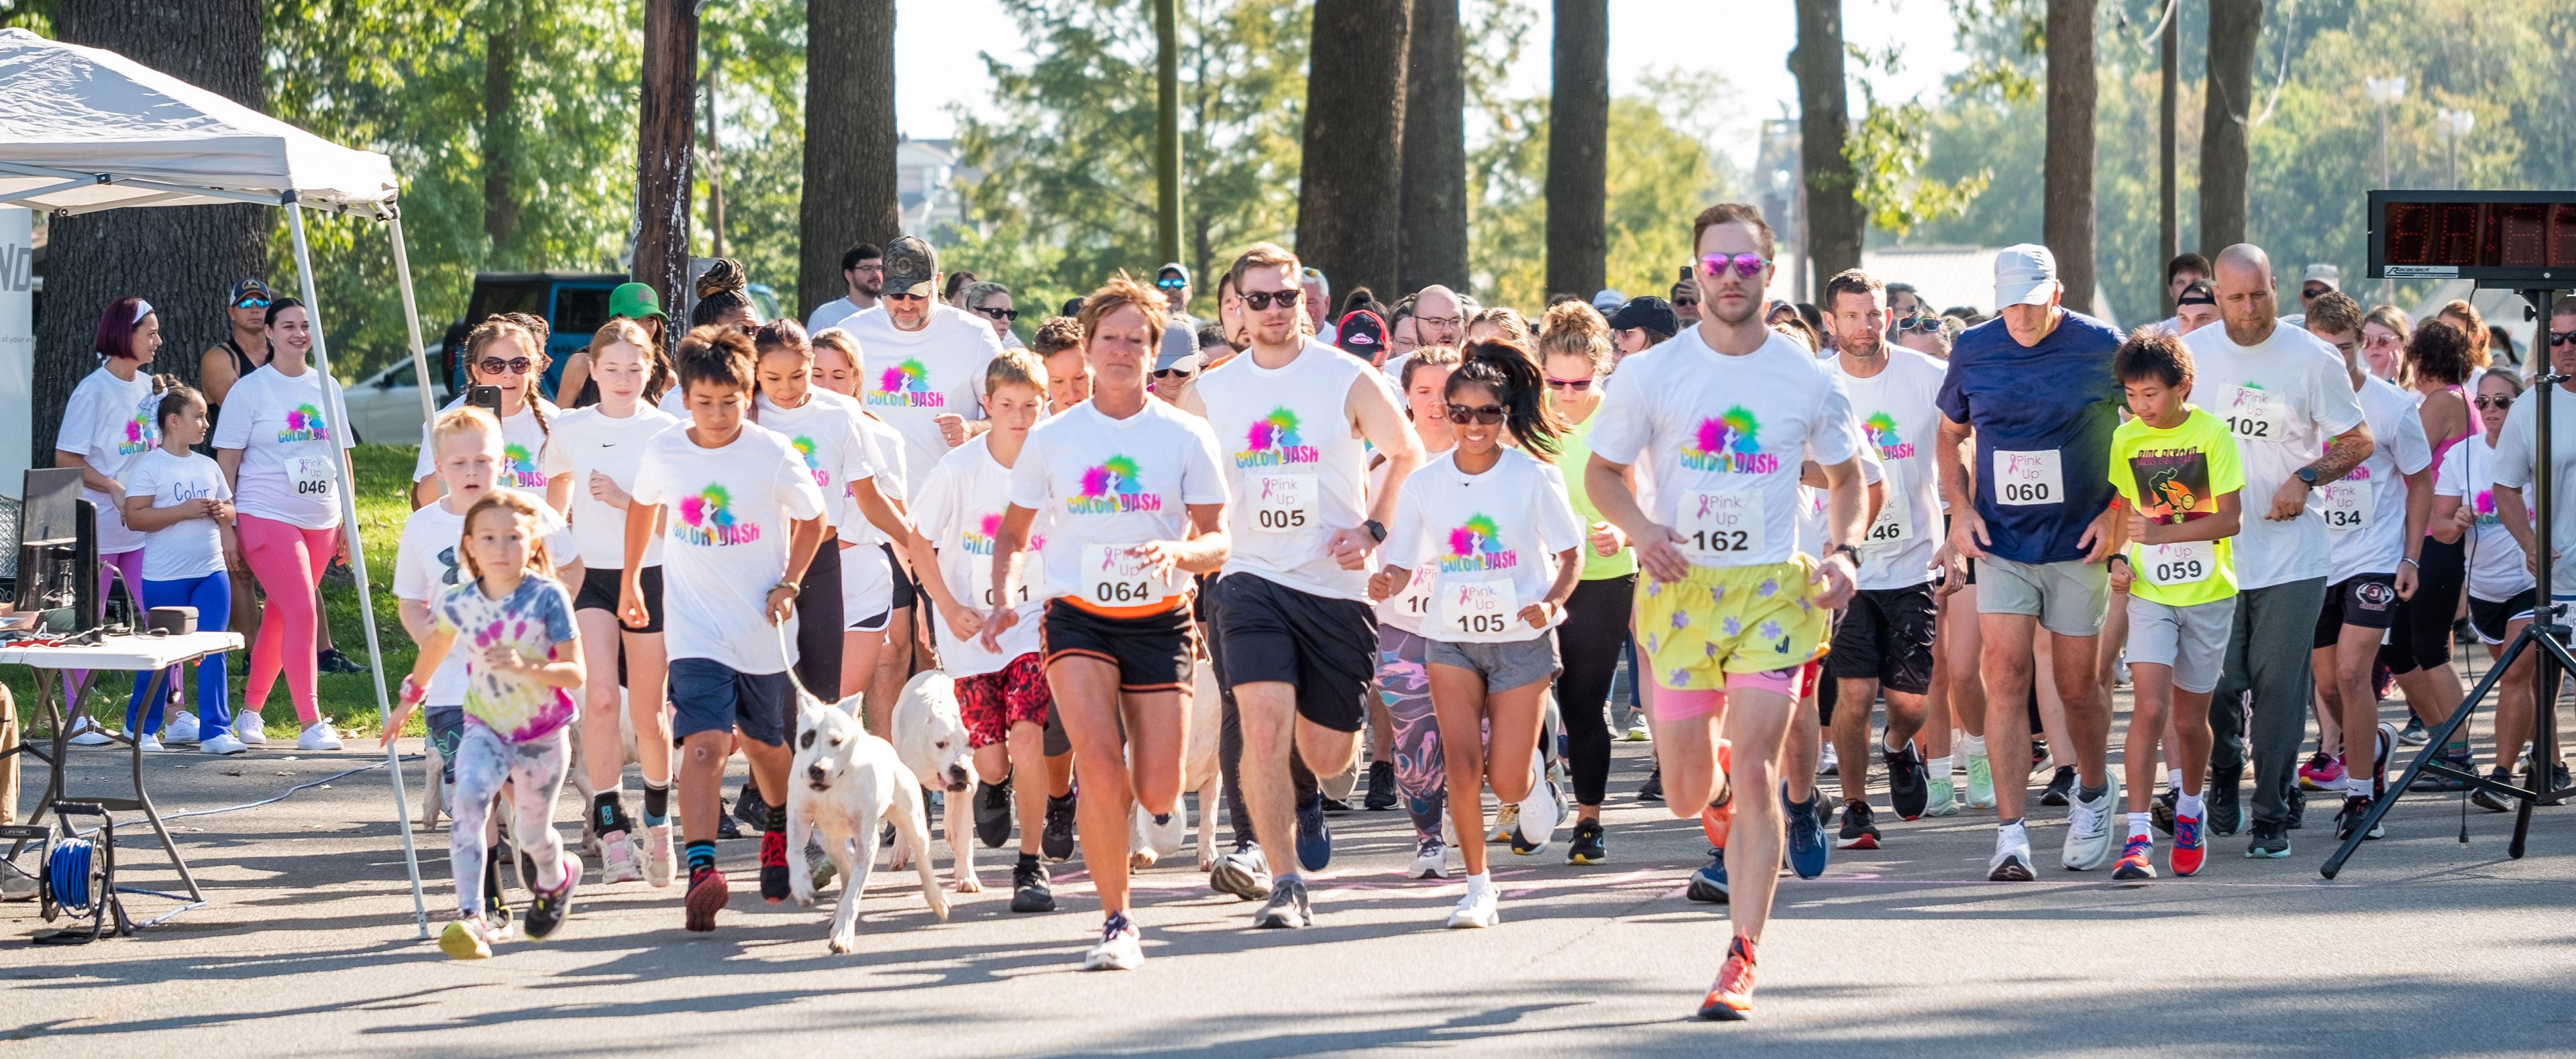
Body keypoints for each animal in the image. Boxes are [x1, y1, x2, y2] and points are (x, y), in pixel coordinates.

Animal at [788, 690, 953, 953]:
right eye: (806, 738)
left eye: (837, 741)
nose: (817, 769)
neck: (837, 783)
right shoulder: (799, 821)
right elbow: (794, 853)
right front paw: (802, 885)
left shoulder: (867, 842)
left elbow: (855, 893)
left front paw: (843, 934)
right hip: (830, 838)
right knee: (845, 868)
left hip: (913, 823)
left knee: (923, 860)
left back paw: (936, 899)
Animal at [902, 670, 989, 897]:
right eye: (940, 744)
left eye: (971, 742)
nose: (959, 769)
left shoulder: (966, 791)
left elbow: (965, 838)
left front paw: (966, 877)